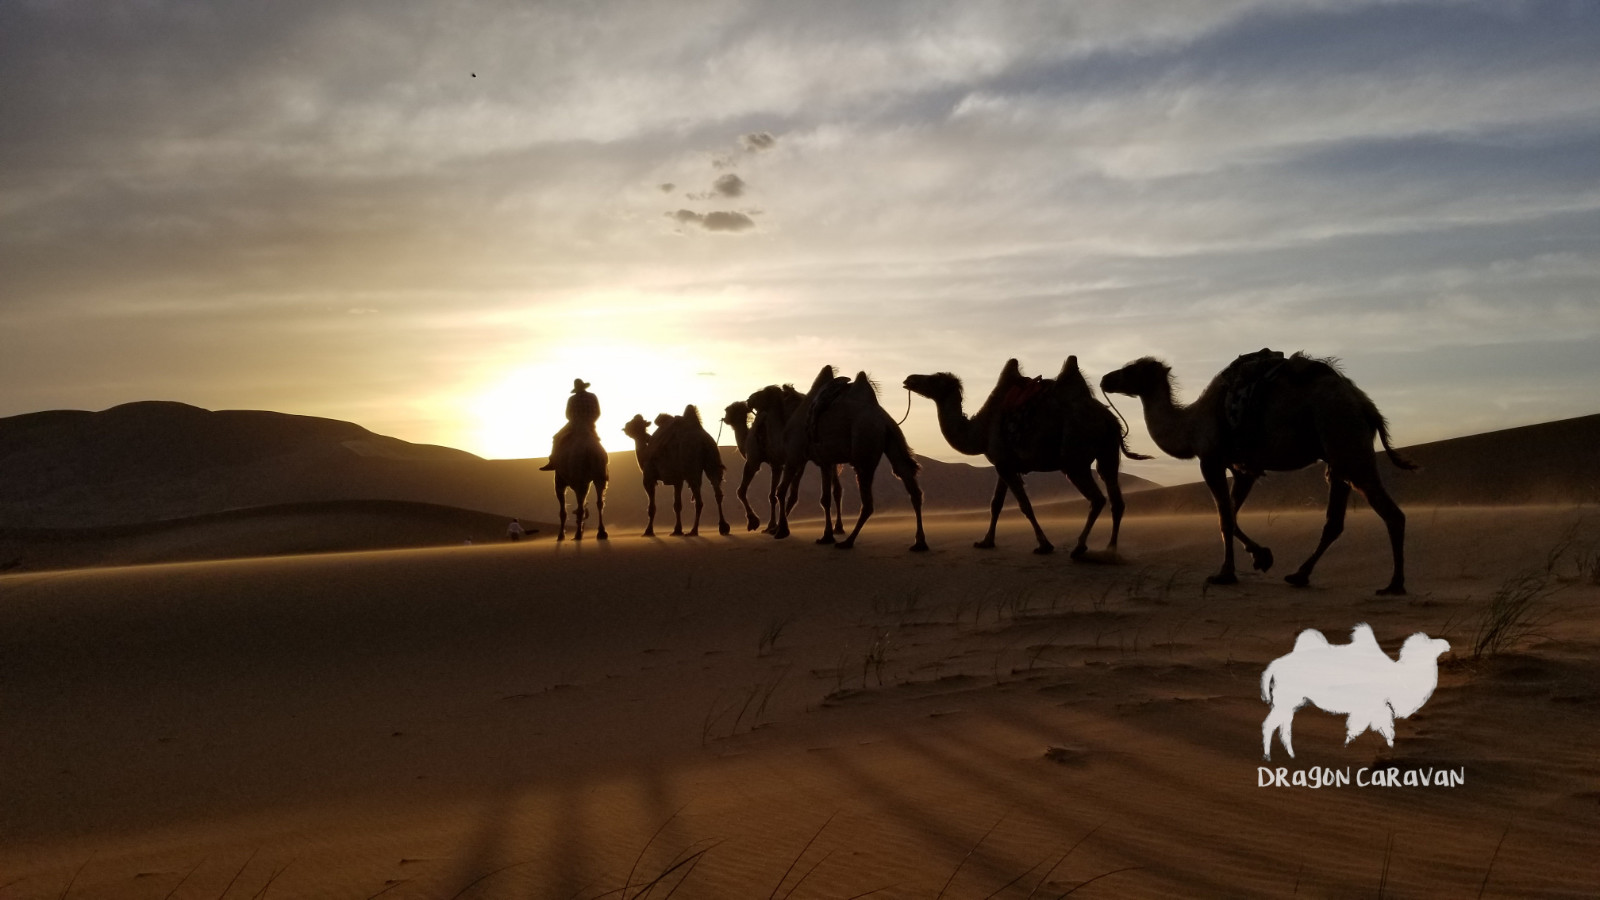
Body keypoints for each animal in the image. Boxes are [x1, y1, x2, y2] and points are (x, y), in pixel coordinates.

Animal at [623, 406, 731, 538]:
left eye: (635, 423)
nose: (626, 426)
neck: (644, 453)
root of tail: (703, 441)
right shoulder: (678, 480)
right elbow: (677, 505)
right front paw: (677, 530)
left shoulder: (648, 477)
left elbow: (652, 507)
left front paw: (648, 531)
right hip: (712, 461)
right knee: (717, 492)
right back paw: (723, 527)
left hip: (691, 467)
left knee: (699, 501)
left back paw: (694, 531)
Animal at [773, 366, 927, 552]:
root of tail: (883, 419)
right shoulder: (825, 462)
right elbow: (825, 499)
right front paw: (826, 536)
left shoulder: (793, 456)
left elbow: (781, 491)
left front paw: (781, 531)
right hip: (893, 442)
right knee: (910, 484)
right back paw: (920, 542)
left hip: (864, 449)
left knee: (868, 504)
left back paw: (848, 541)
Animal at [904, 357, 1149, 557]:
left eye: (935, 378)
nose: (909, 378)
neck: (981, 430)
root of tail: (1109, 419)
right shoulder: (1004, 464)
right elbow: (996, 504)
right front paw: (986, 541)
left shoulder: (1004, 464)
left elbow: (1024, 505)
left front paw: (1044, 545)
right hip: (1108, 454)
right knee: (1116, 499)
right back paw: (1111, 549)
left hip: (1074, 459)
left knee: (1097, 498)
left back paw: (1080, 548)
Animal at [1100, 350, 1415, 594]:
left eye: (1131, 370)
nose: (1105, 379)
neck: (1190, 425)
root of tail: (1365, 404)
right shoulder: (1243, 469)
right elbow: (1230, 514)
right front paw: (1261, 556)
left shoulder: (1210, 459)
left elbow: (1224, 518)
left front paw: (1225, 573)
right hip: (1338, 456)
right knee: (1335, 521)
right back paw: (1300, 575)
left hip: (1346, 441)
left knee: (1391, 513)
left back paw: (1395, 584)